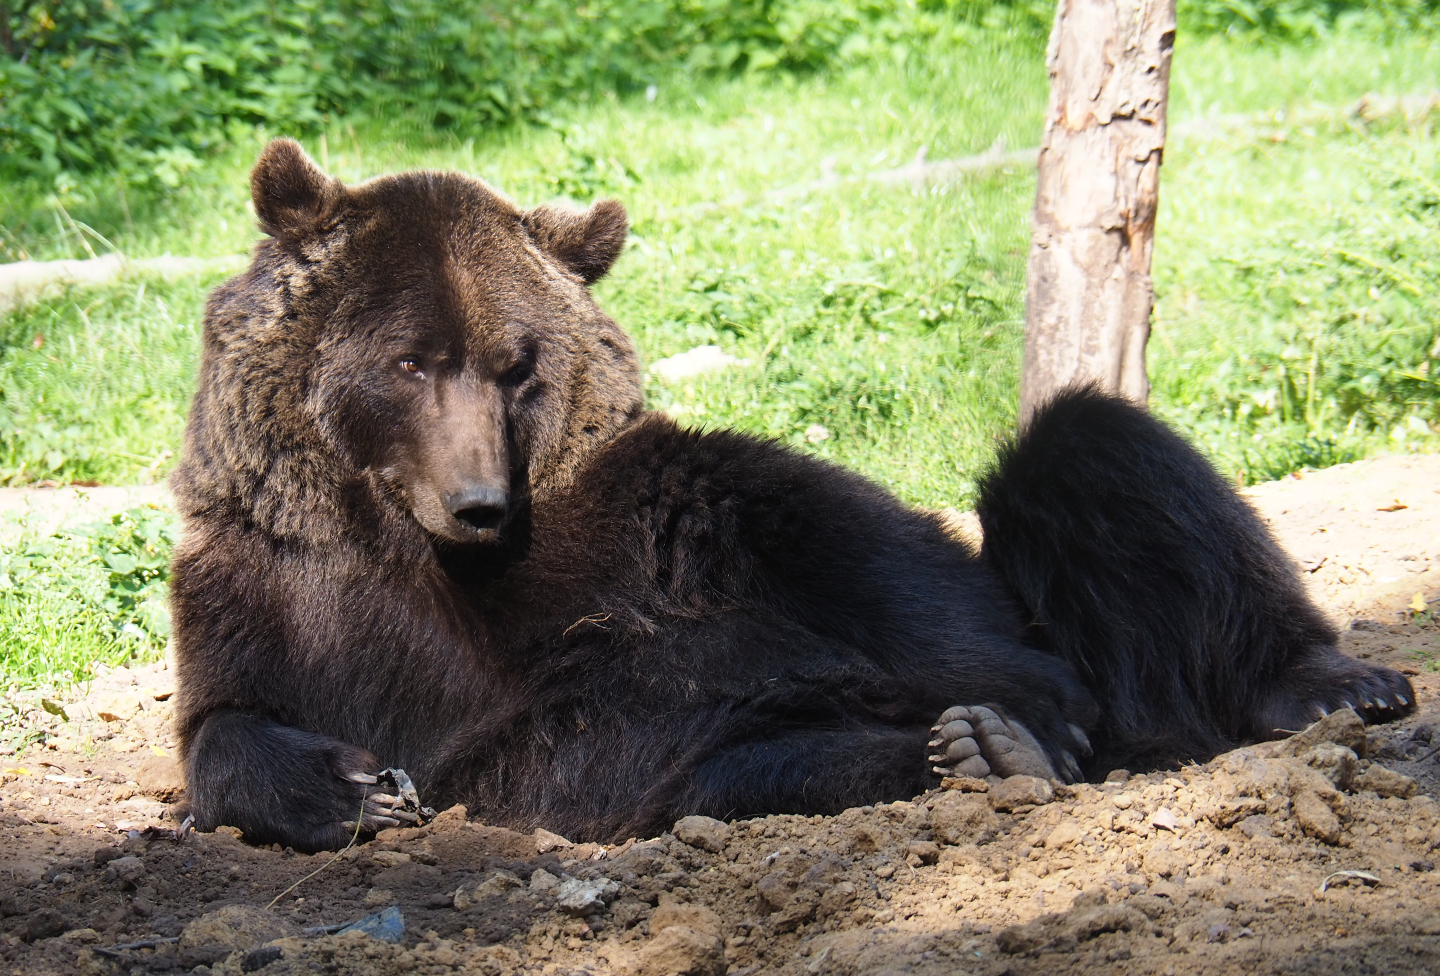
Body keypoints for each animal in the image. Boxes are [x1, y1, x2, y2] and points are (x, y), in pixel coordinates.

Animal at [170, 139, 1415, 853]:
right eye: (412, 360)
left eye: (515, 364)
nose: (479, 500)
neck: (411, 542)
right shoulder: (278, 584)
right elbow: (224, 722)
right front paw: (354, 787)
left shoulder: (675, 511)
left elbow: (909, 587)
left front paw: (1037, 710)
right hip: (715, 759)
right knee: (763, 765)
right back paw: (979, 753)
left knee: (1088, 450)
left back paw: (1324, 686)